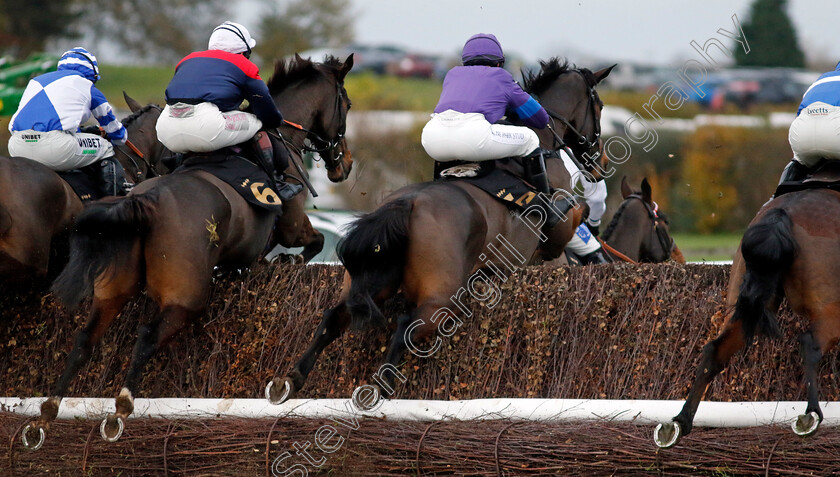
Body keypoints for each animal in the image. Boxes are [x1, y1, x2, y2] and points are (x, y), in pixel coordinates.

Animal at [19, 54, 354, 446]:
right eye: (347, 104)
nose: (344, 165)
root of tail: (144, 200)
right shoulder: (292, 224)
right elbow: (314, 243)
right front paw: (287, 262)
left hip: (114, 286)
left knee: (86, 338)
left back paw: (45, 416)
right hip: (187, 295)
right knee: (148, 335)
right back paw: (119, 410)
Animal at [270, 57, 616, 404]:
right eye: (599, 106)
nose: (598, 163)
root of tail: (407, 203)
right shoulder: (555, 235)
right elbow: (576, 214)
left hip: (371, 279)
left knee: (333, 318)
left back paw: (290, 379)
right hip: (442, 297)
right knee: (407, 327)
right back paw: (378, 387)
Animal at [656, 178, 840, 446]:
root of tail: (783, 211)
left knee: (714, 351)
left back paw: (680, 422)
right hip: (831, 309)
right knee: (810, 344)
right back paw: (811, 415)